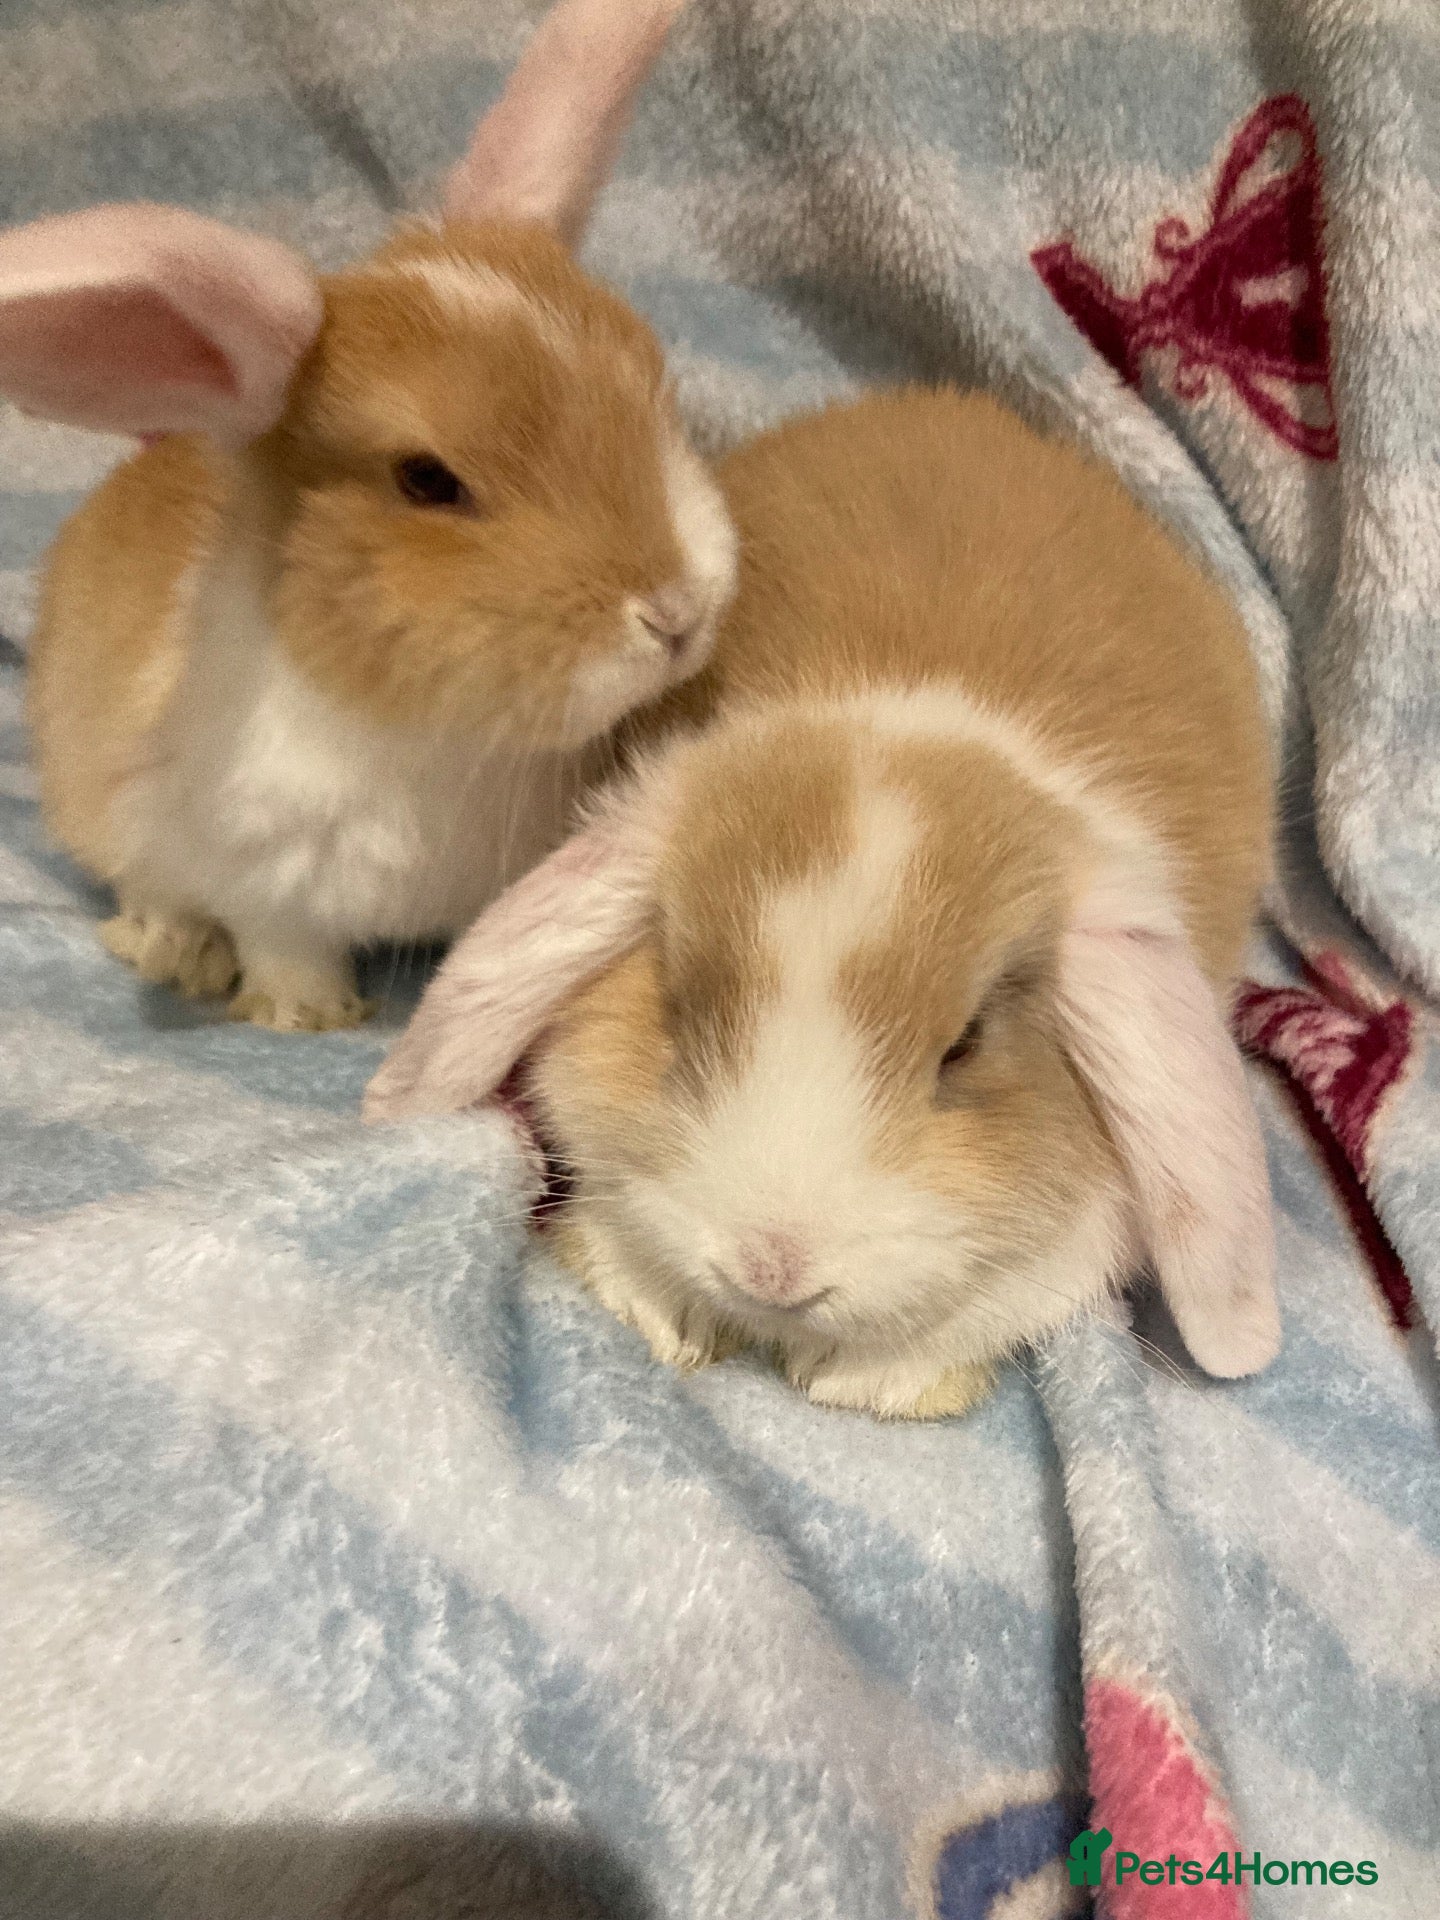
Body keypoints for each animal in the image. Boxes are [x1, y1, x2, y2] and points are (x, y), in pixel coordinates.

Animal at [0, 0, 736, 1031]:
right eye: (427, 481)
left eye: (652, 385)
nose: (674, 614)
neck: (432, 736)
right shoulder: (264, 880)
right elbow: (284, 944)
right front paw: (305, 1017)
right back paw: (174, 950)